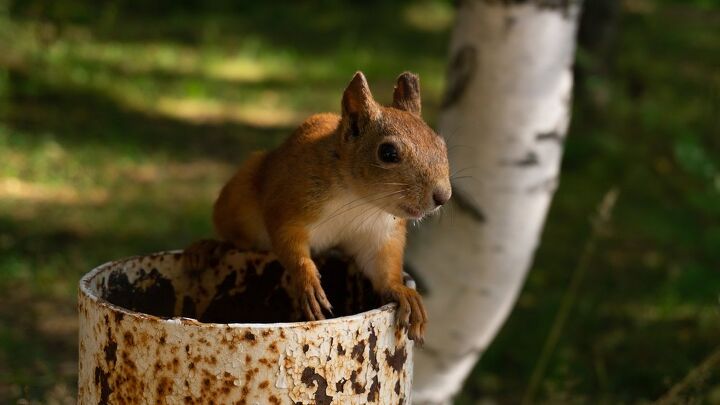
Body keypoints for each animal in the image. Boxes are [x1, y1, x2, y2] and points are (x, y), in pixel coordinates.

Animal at [186, 72, 450, 340]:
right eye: (387, 153)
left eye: (441, 144)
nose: (443, 196)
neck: (360, 200)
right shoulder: (290, 204)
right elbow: (288, 241)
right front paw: (308, 281)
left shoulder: (379, 234)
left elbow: (382, 268)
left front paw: (404, 293)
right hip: (238, 197)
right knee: (237, 239)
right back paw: (208, 247)